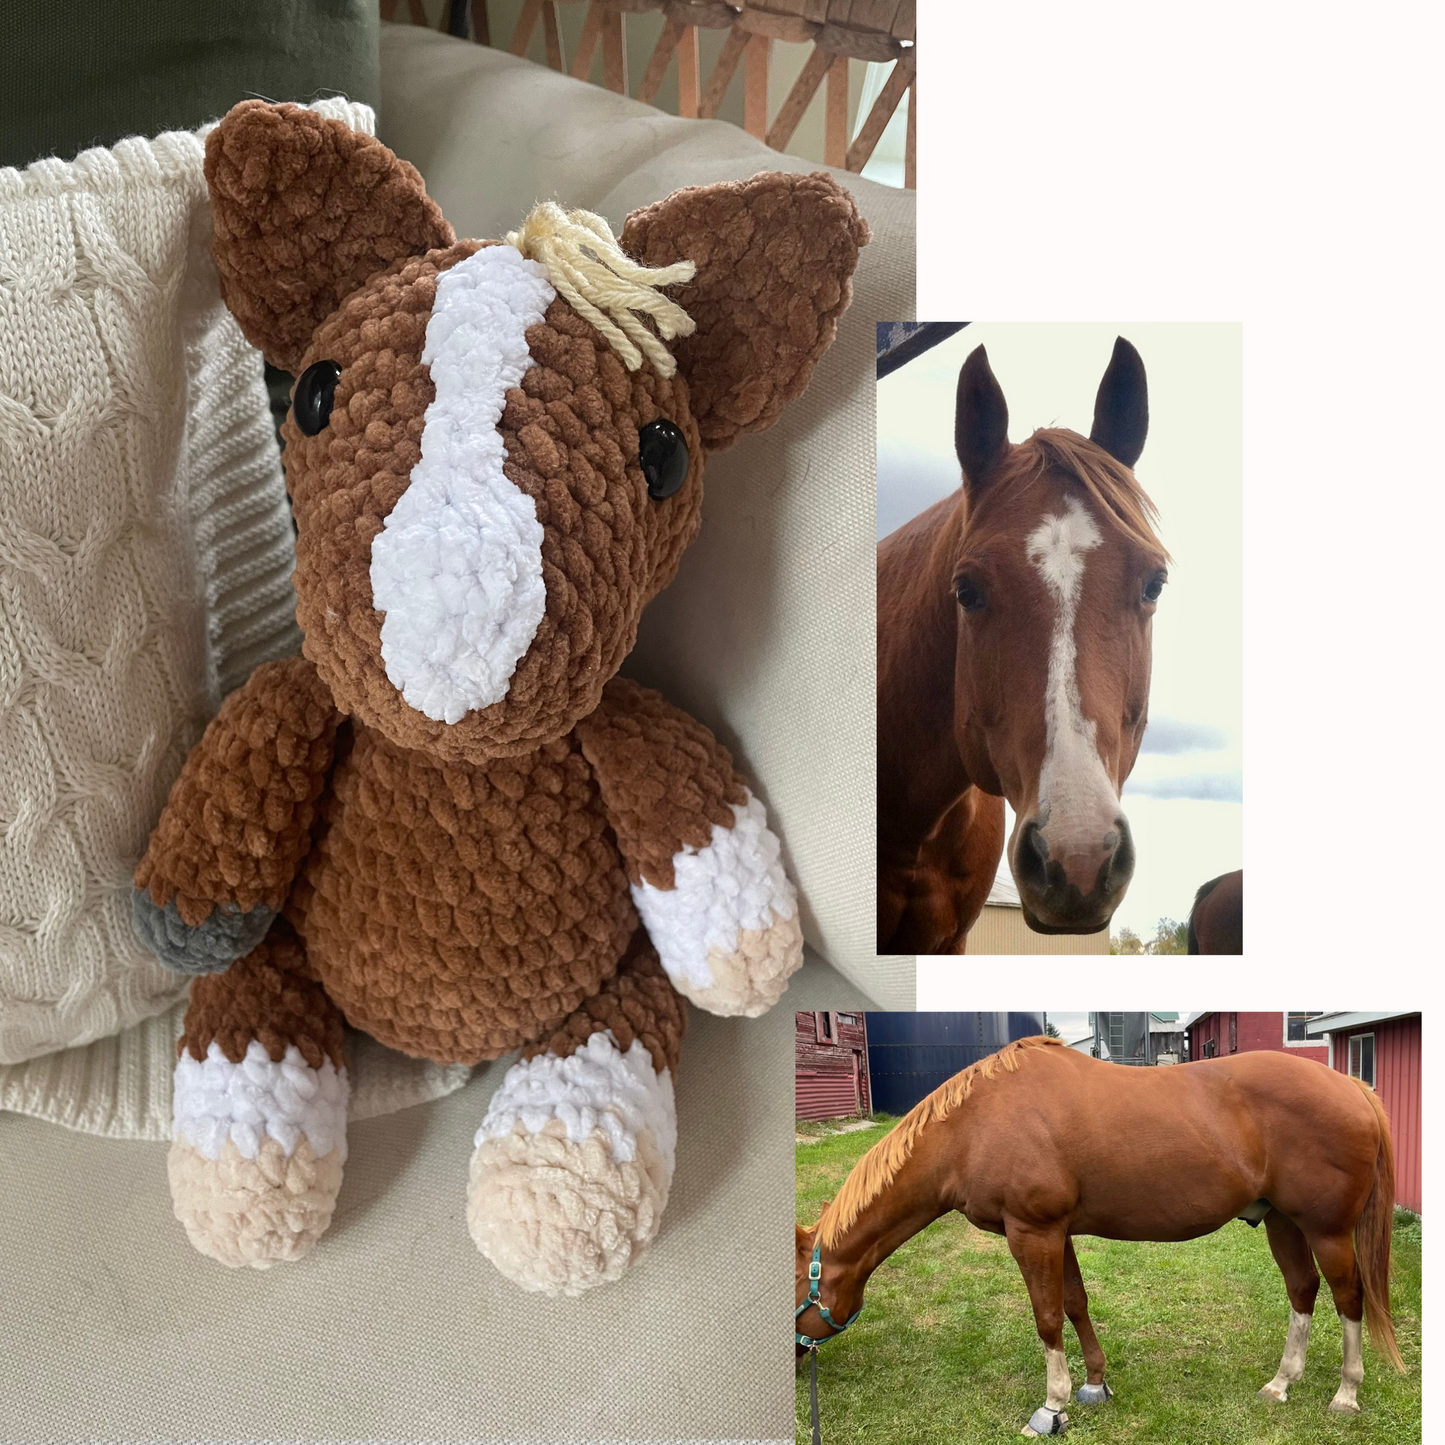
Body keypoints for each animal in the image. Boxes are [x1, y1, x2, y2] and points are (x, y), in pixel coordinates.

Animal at [795, 1037, 1403, 1434]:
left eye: (794, 1285)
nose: (796, 1364)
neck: (972, 1128)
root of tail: (1352, 1086)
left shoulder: (1031, 1232)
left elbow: (1046, 1317)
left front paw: (1052, 1407)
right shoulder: (1055, 1232)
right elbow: (1074, 1303)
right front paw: (1094, 1385)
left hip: (1327, 1230)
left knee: (1349, 1298)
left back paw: (1345, 1394)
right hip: (1281, 1221)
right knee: (1303, 1290)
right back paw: (1280, 1384)